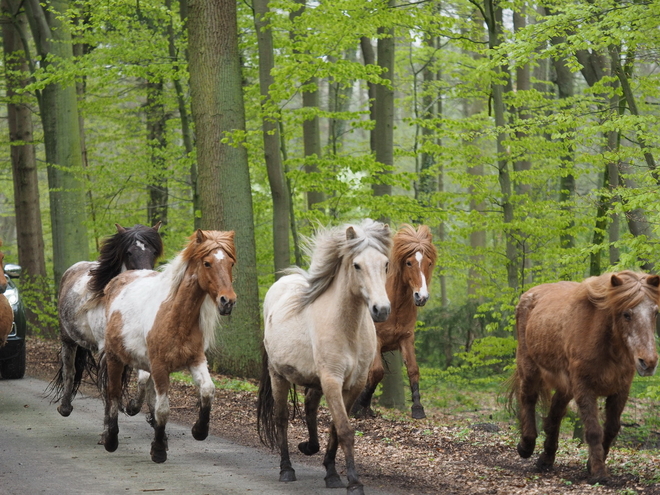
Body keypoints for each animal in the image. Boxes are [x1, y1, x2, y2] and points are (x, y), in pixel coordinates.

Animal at [49, 223, 162, 416]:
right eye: (129, 252)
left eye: (154, 252)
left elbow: (144, 378)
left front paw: (136, 408)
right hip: (67, 339)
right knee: (69, 371)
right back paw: (64, 407)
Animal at [100, 230, 237, 464]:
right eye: (207, 263)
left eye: (231, 263)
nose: (227, 301)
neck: (175, 316)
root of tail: (117, 281)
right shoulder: (160, 366)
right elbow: (163, 409)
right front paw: (158, 451)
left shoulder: (196, 359)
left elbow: (208, 390)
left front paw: (199, 431)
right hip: (114, 358)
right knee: (114, 394)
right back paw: (111, 439)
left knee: (144, 387)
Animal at [258, 220, 392, 495]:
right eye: (357, 265)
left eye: (385, 264)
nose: (381, 310)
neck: (347, 329)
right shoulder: (332, 380)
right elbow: (345, 430)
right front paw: (355, 483)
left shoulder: (353, 385)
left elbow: (334, 428)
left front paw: (332, 474)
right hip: (278, 376)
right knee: (281, 419)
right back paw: (286, 469)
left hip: (314, 381)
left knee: (309, 407)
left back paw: (310, 447)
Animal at [350, 225, 438, 418]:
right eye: (409, 263)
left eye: (428, 263)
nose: (421, 297)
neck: (395, 305)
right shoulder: (377, 340)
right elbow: (377, 372)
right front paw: (359, 405)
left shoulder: (406, 338)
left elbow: (413, 369)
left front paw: (417, 408)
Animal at [510, 272, 660, 484]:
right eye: (626, 314)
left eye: (655, 313)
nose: (648, 362)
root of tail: (529, 294)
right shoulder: (584, 387)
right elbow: (594, 430)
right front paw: (598, 472)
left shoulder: (620, 390)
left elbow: (611, 428)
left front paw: (593, 463)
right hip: (529, 368)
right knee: (528, 399)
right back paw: (526, 445)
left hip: (565, 385)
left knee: (555, 414)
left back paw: (546, 458)